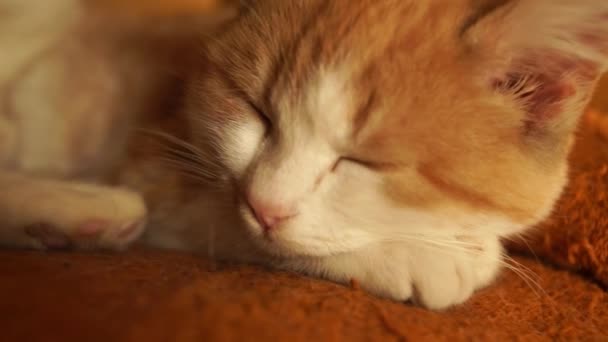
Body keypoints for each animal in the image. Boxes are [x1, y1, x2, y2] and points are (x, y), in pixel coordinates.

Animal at [1, 0, 608, 310]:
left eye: (365, 162)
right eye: (256, 112)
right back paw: (85, 208)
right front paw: (419, 254)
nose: (265, 205)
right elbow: (227, 221)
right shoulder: (153, 157)